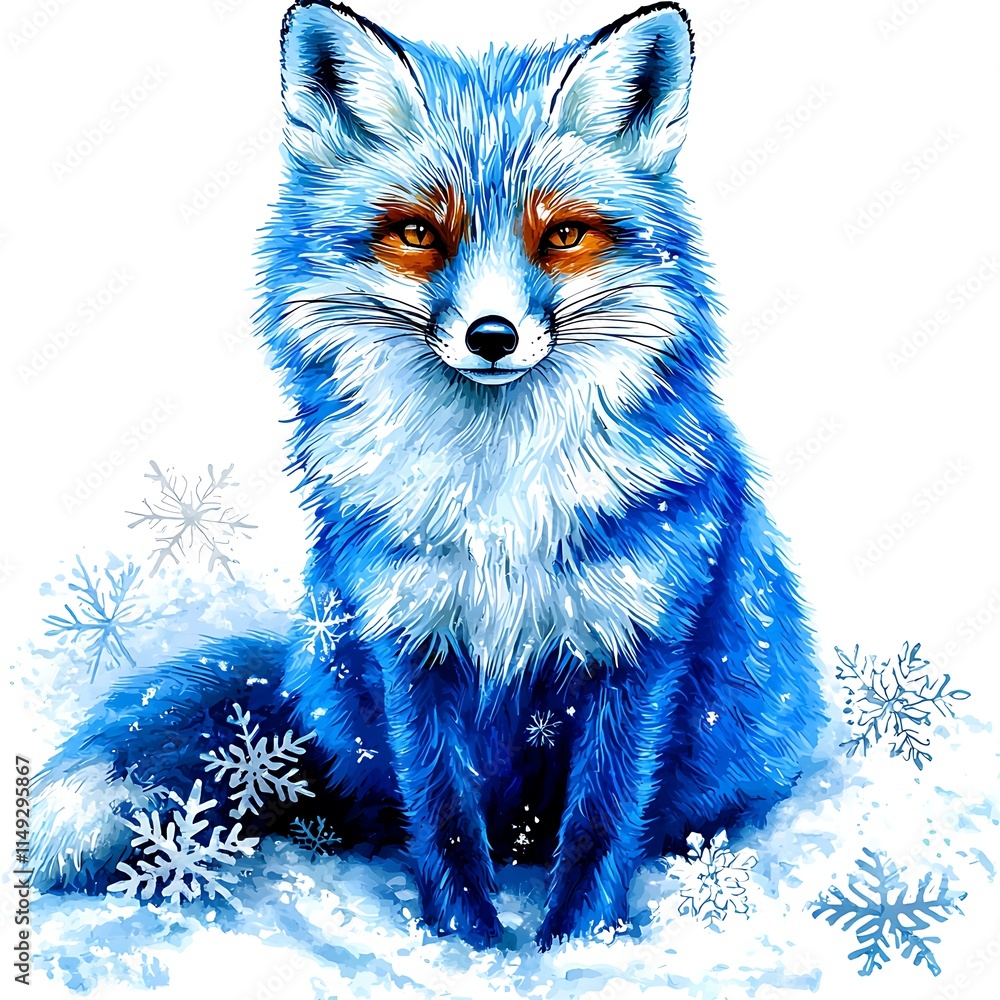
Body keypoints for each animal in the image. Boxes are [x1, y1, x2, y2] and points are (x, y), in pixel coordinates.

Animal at [35, 0, 825, 950]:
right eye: (418, 232)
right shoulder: (409, 641)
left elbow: (601, 824)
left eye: (563, 235)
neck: (498, 506)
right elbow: (443, 818)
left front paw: (573, 948)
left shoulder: (637, 645)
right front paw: (469, 948)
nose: (492, 336)